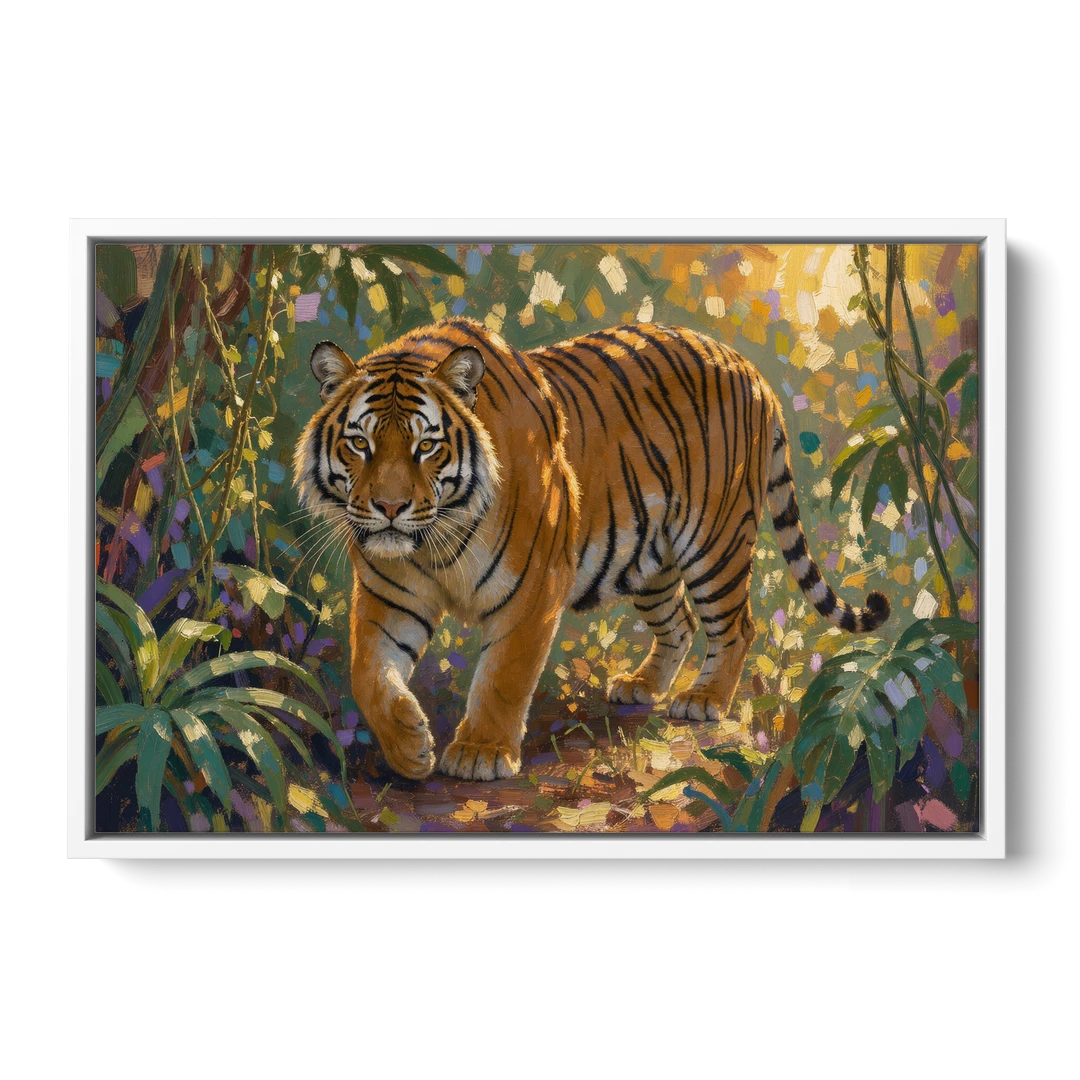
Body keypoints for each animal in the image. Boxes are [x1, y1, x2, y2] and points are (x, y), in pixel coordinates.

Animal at [293, 316, 889, 782]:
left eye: (426, 446)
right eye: (360, 443)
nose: (390, 507)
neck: (431, 543)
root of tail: (747, 365)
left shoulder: (532, 588)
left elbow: (504, 676)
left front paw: (481, 753)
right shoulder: (387, 597)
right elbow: (368, 676)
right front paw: (410, 747)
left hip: (714, 542)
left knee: (736, 626)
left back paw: (703, 701)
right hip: (650, 556)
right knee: (680, 623)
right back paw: (642, 687)